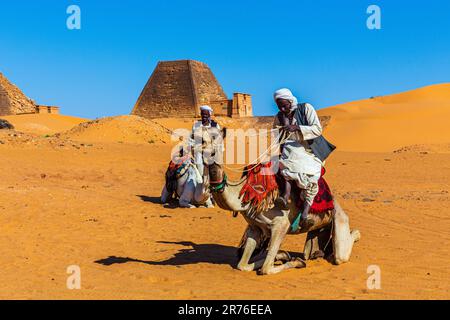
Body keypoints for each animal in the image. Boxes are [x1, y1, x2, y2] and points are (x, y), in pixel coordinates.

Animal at [206, 162, 360, 276]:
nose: (213, 168)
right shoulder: (254, 228)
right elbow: (242, 265)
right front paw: (283, 255)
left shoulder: (281, 225)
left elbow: (266, 269)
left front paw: (297, 262)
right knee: (310, 252)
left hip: (338, 216)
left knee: (340, 256)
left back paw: (356, 234)